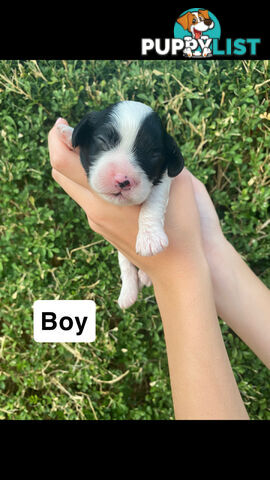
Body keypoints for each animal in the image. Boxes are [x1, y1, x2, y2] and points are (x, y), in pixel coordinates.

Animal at [56, 103, 184, 310]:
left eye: (154, 154)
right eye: (102, 140)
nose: (122, 180)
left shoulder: (164, 179)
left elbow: (153, 202)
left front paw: (150, 237)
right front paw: (66, 132)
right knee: (126, 263)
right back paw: (128, 293)